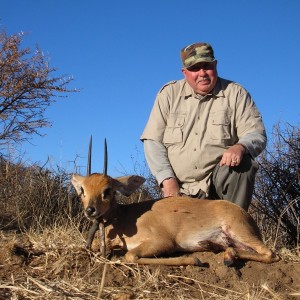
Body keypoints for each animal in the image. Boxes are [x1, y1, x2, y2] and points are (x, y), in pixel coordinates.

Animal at [71, 139, 280, 266]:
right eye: (83, 190)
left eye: (107, 190)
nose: (90, 210)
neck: (124, 217)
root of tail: (246, 215)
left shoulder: (162, 241)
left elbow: (130, 255)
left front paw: (195, 260)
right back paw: (219, 249)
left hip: (239, 231)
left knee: (271, 254)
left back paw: (226, 257)